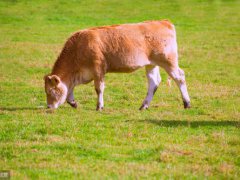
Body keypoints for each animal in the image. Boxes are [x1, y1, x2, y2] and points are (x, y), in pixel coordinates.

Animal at [44, 19, 191, 109]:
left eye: (50, 91)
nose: (49, 107)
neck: (79, 46)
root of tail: (163, 22)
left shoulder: (98, 69)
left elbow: (99, 88)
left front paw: (99, 106)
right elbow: (70, 88)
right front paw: (73, 103)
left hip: (169, 61)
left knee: (180, 77)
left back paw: (187, 103)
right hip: (151, 64)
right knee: (154, 82)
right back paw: (144, 106)